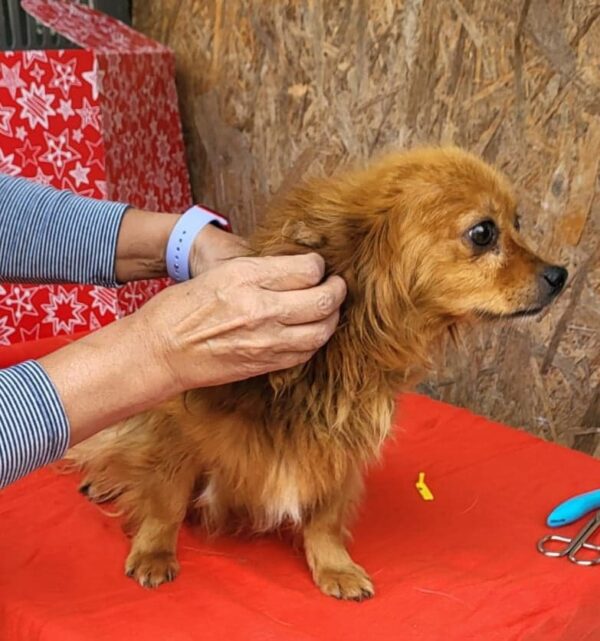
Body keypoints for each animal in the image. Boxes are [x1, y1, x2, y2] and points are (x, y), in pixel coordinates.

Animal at [70, 146, 568, 600]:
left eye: (519, 223)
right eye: (483, 232)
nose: (560, 275)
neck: (336, 363)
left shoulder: (339, 445)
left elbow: (325, 518)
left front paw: (334, 566)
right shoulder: (179, 432)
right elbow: (166, 498)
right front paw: (154, 550)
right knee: (126, 445)